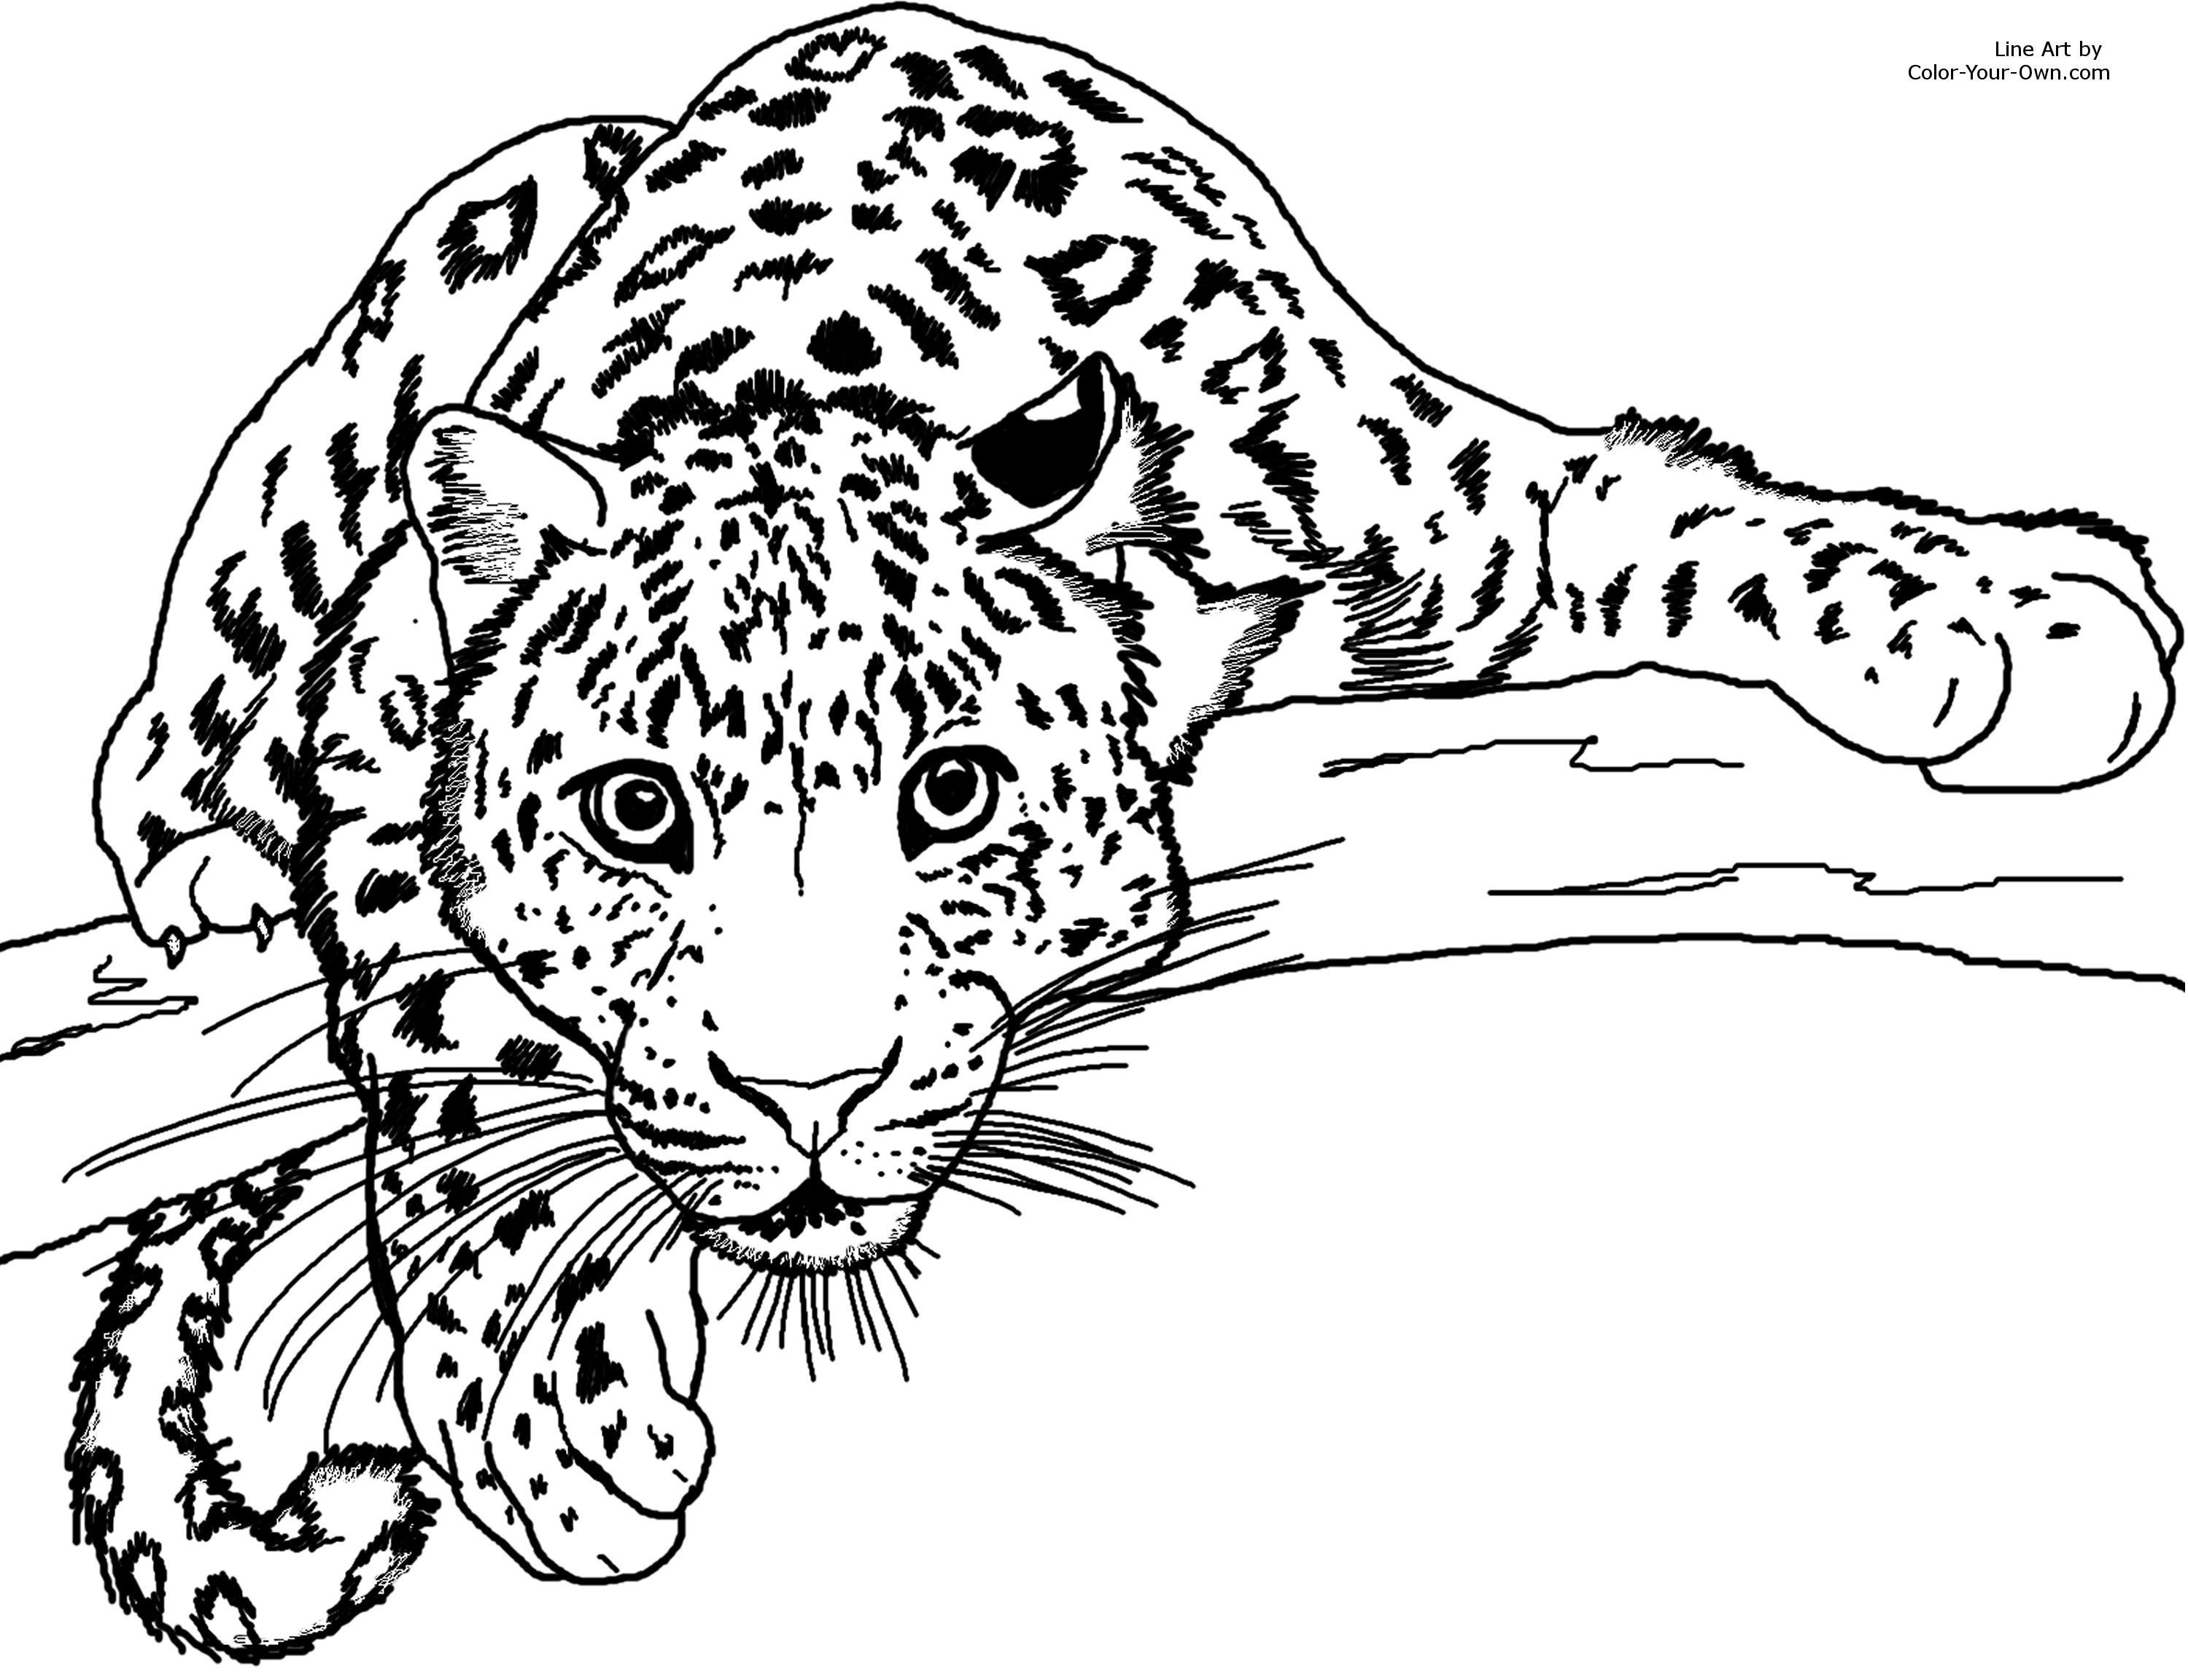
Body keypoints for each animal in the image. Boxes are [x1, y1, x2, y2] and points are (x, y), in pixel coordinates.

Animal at [68, 3, 2177, 1659]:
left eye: (950, 794)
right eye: (637, 813)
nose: (805, 1099)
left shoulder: (1454, 508)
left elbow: (1696, 523)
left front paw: (2017, 614)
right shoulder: (381, 683)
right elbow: (446, 1024)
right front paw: (553, 1401)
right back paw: (193, 852)